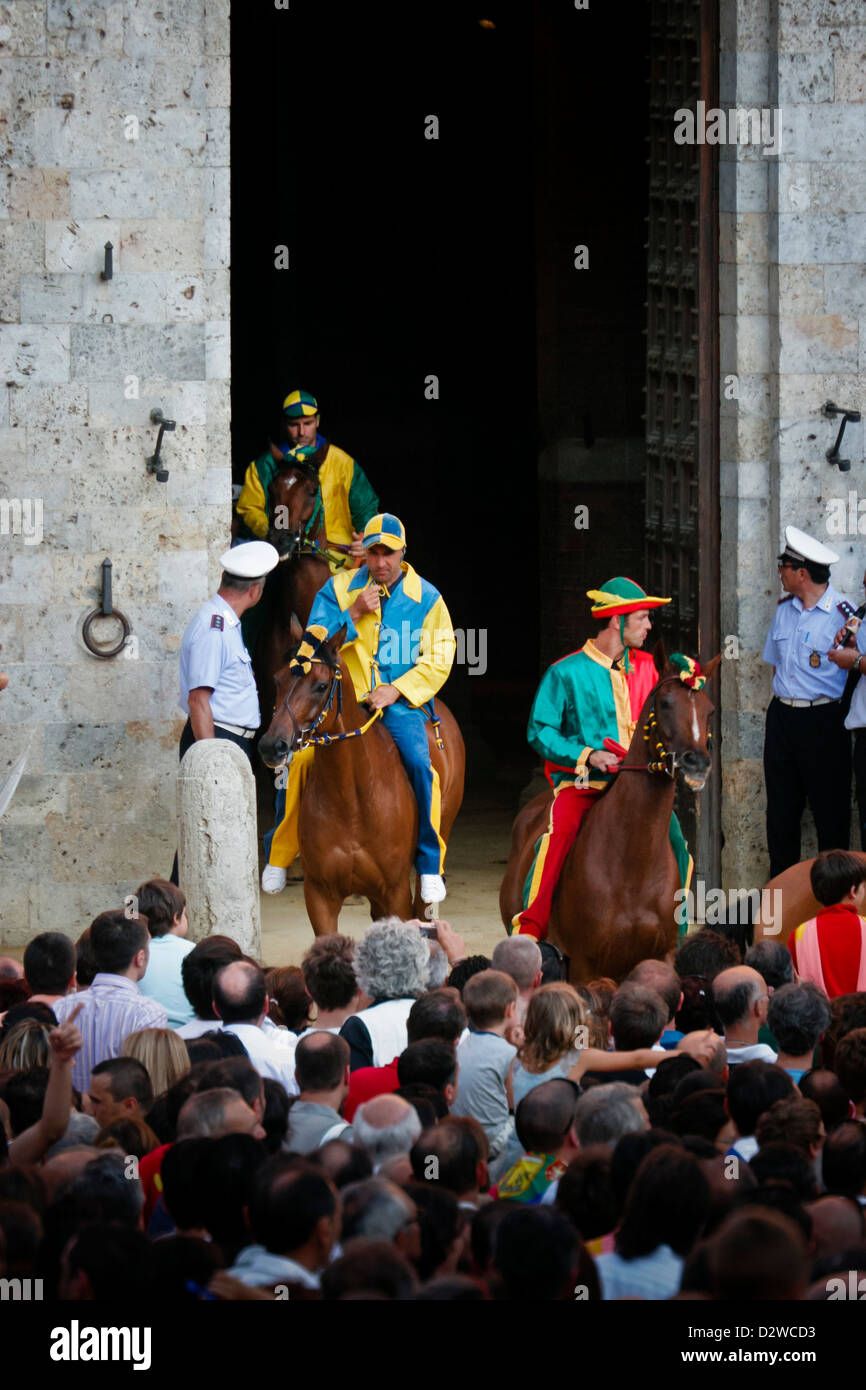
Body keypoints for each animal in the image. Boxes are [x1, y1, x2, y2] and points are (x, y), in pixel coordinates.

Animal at [258, 622, 467, 934]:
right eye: (278, 679)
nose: (272, 746)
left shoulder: (395, 892)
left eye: (321, 685)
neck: (353, 799)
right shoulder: (319, 894)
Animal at [497, 644, 722, 984]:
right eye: (666, 703)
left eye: (709, 710)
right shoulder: (585, 965)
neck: (632, 864)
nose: (696, 762)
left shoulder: (658, 956)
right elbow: (544, 729)